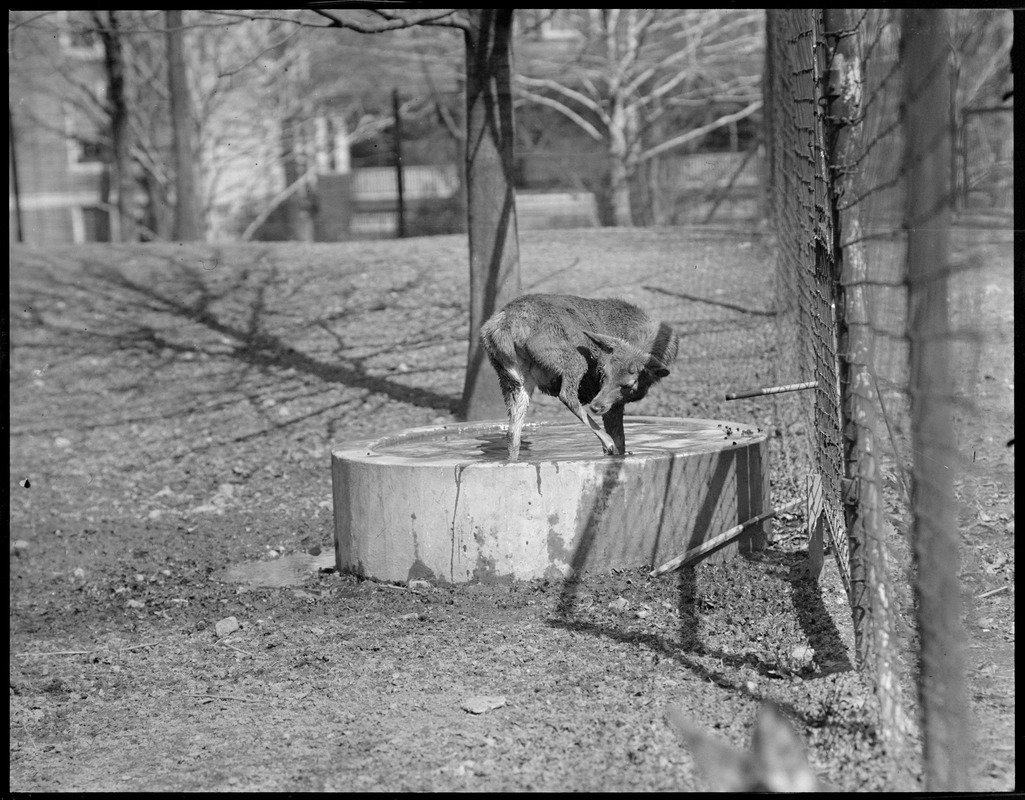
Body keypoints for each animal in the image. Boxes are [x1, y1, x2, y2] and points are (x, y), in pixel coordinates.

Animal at [479, 293, 680, 459]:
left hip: (512, 377)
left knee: (513, 431)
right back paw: (607, 441)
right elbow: (620, 441)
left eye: (629, 384)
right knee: (567, 395)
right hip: (571, 359)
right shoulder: (614, 403)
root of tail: (503, 327)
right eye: (603, 373)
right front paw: (615, 449)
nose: (596, 406)